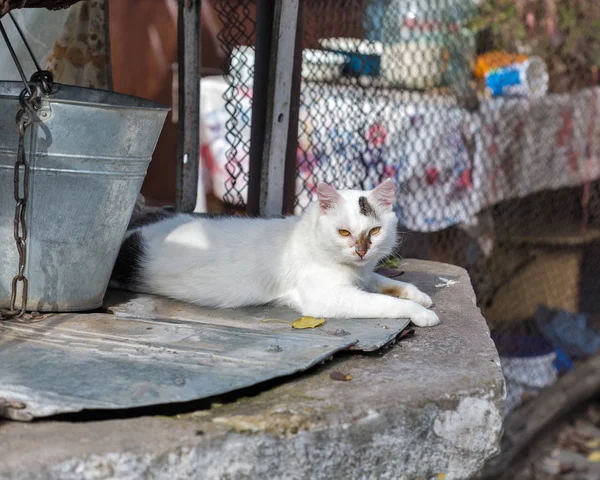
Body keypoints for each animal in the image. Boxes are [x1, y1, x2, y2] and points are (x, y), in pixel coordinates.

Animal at [111, 178, 440, 328]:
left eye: (374, 231)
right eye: (344, 232)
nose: (361, 251)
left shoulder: (363, 275)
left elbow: (385, 282)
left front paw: (417, 294)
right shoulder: (327, 298)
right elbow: (383, 301)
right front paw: (420, 313)